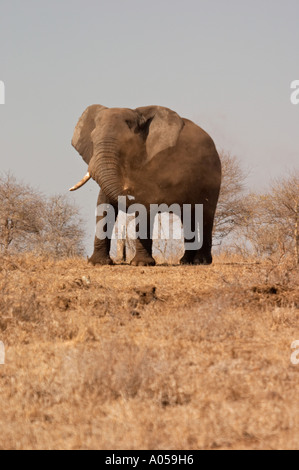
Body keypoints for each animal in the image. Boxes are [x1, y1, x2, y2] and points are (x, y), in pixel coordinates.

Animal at [69, 105, 220, 266]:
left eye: (126, 143)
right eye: (92, 141)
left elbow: (145, 204)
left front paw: (140, 263)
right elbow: (104, 203)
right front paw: (98, 263)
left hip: (212, 174)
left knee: (206, 214)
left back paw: (201, 261)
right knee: (188, 215)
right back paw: (185, 261)